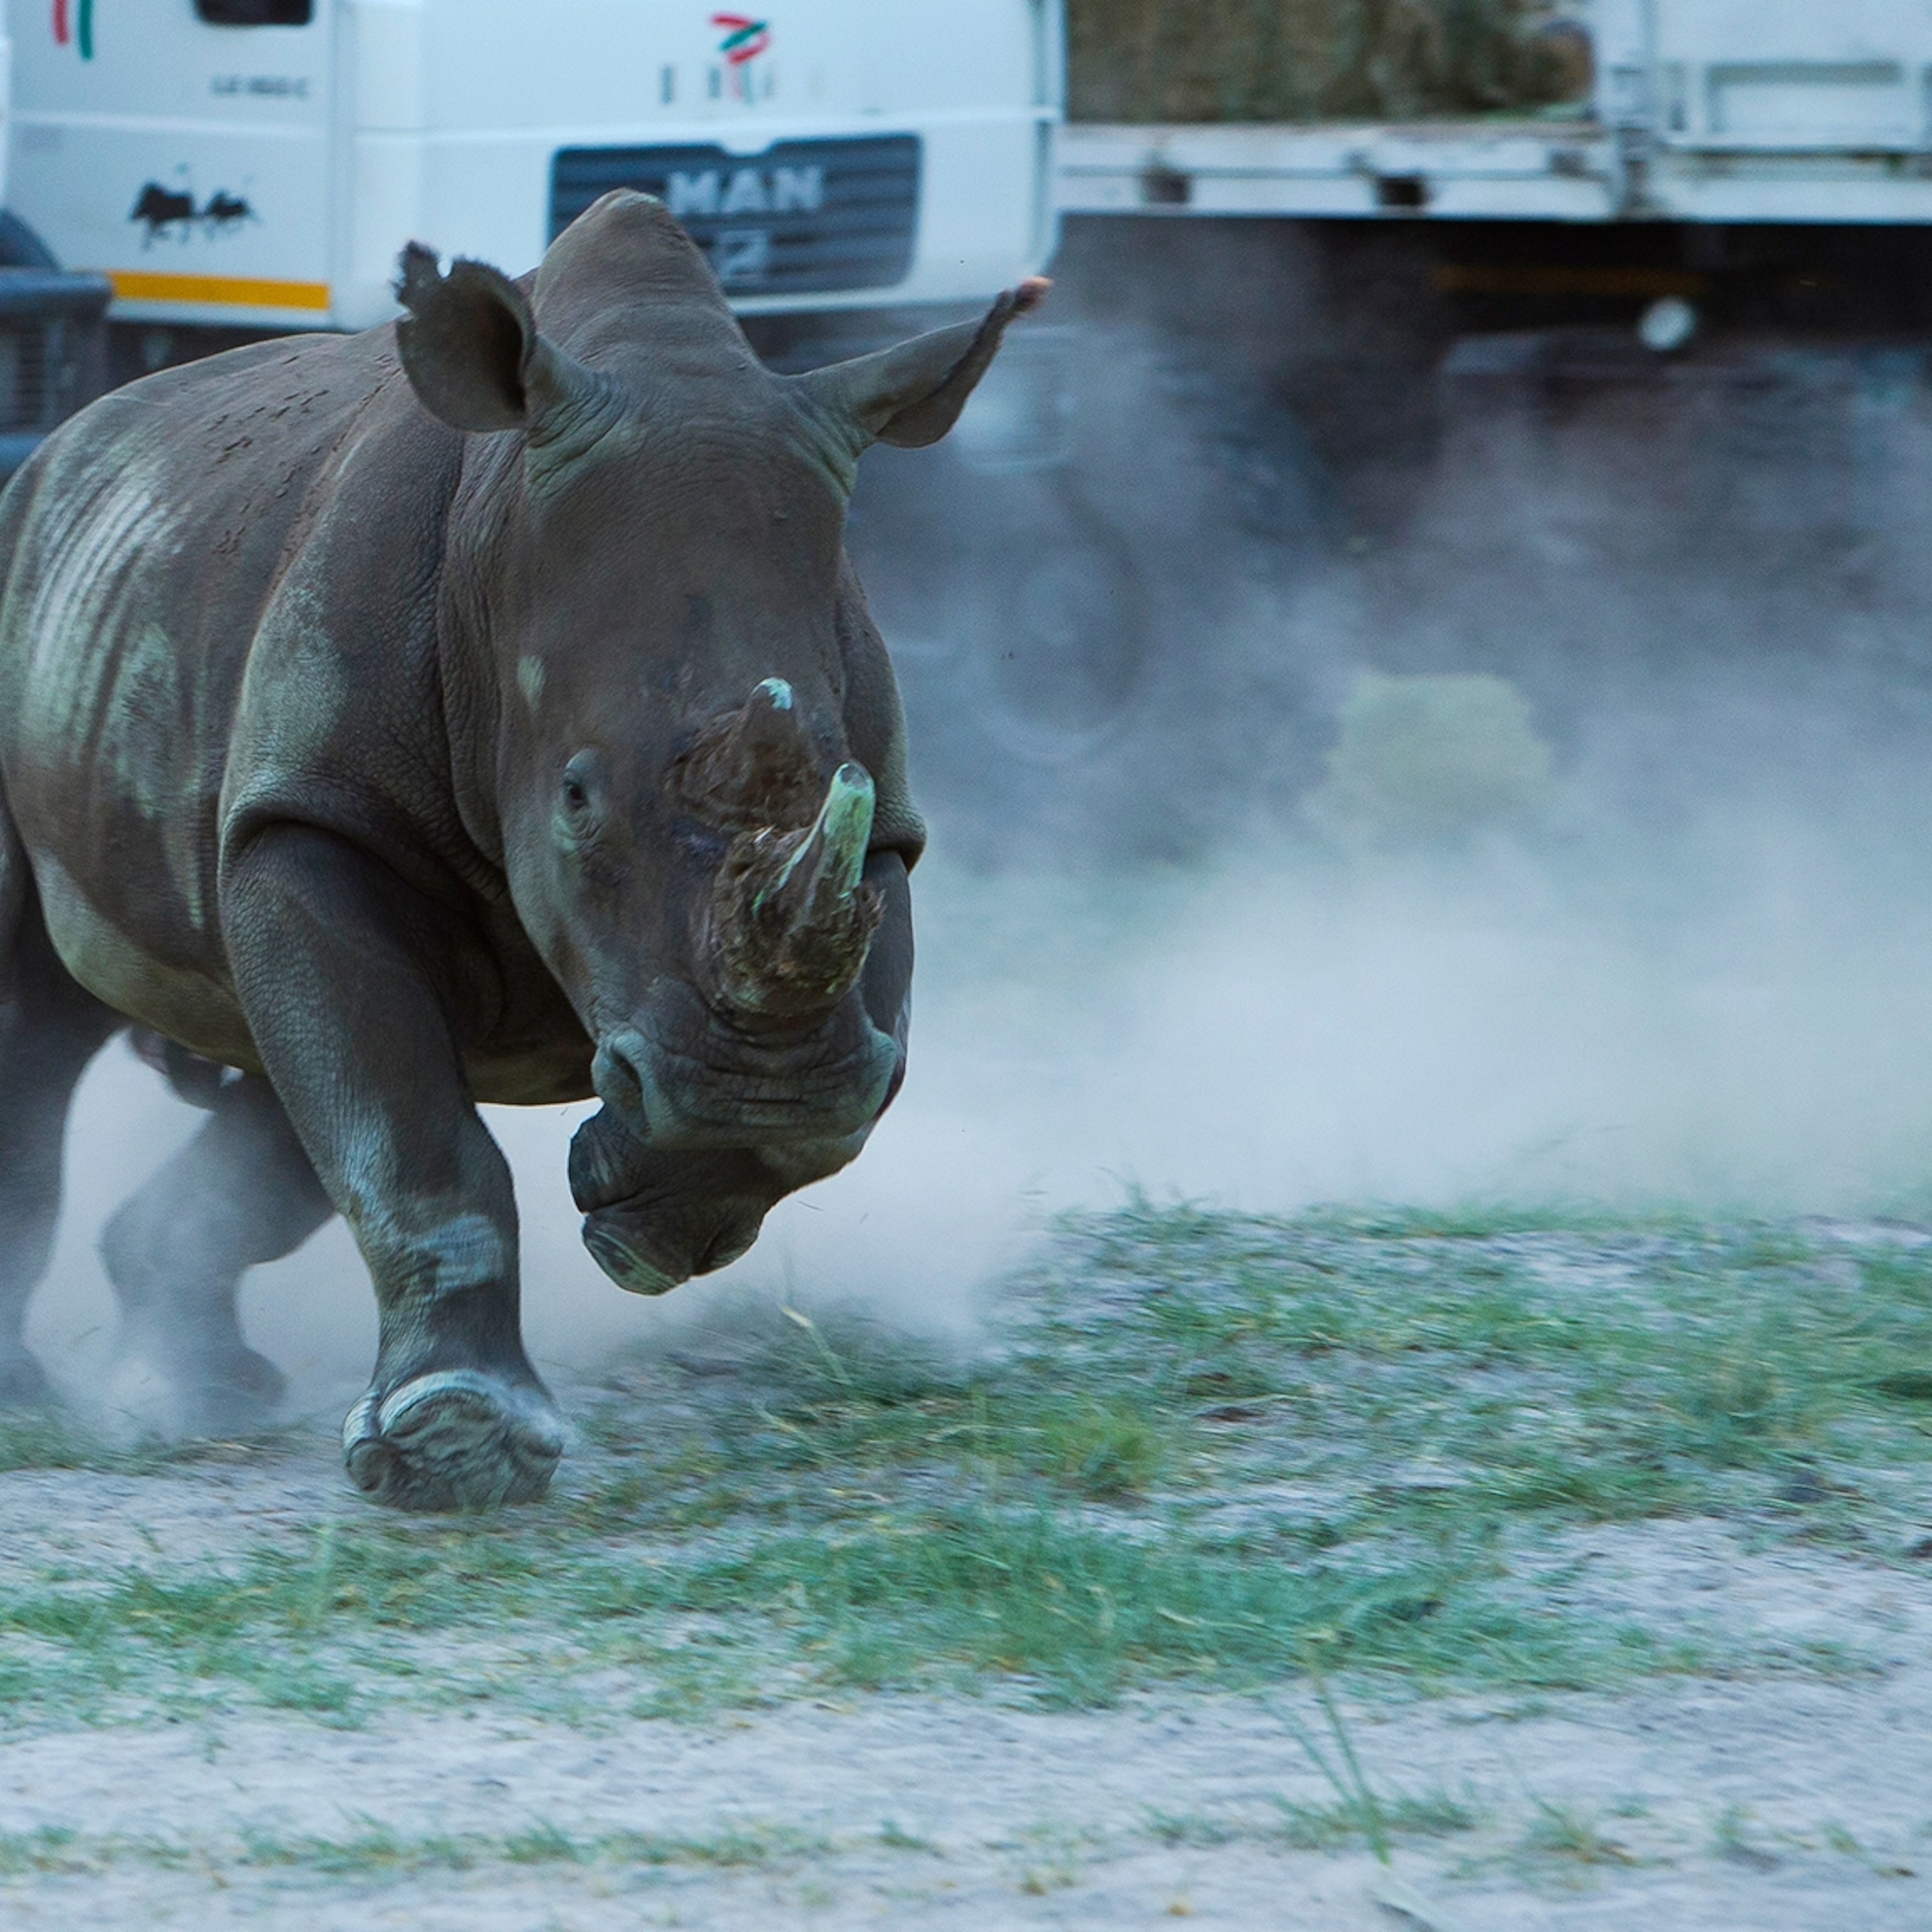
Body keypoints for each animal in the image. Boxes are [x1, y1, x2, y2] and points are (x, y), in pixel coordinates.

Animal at [0, 190, 1044, 1508]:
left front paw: (662, 1203)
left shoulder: (886, 833)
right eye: (576, 799)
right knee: (42, 1015)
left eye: (834, 773)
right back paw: (52, 1397)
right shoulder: (308, 814)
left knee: (273, 1074)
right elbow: (411, 1132)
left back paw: (201, 1387)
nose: (745, 1095)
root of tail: (66, 440)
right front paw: (456, 1444)